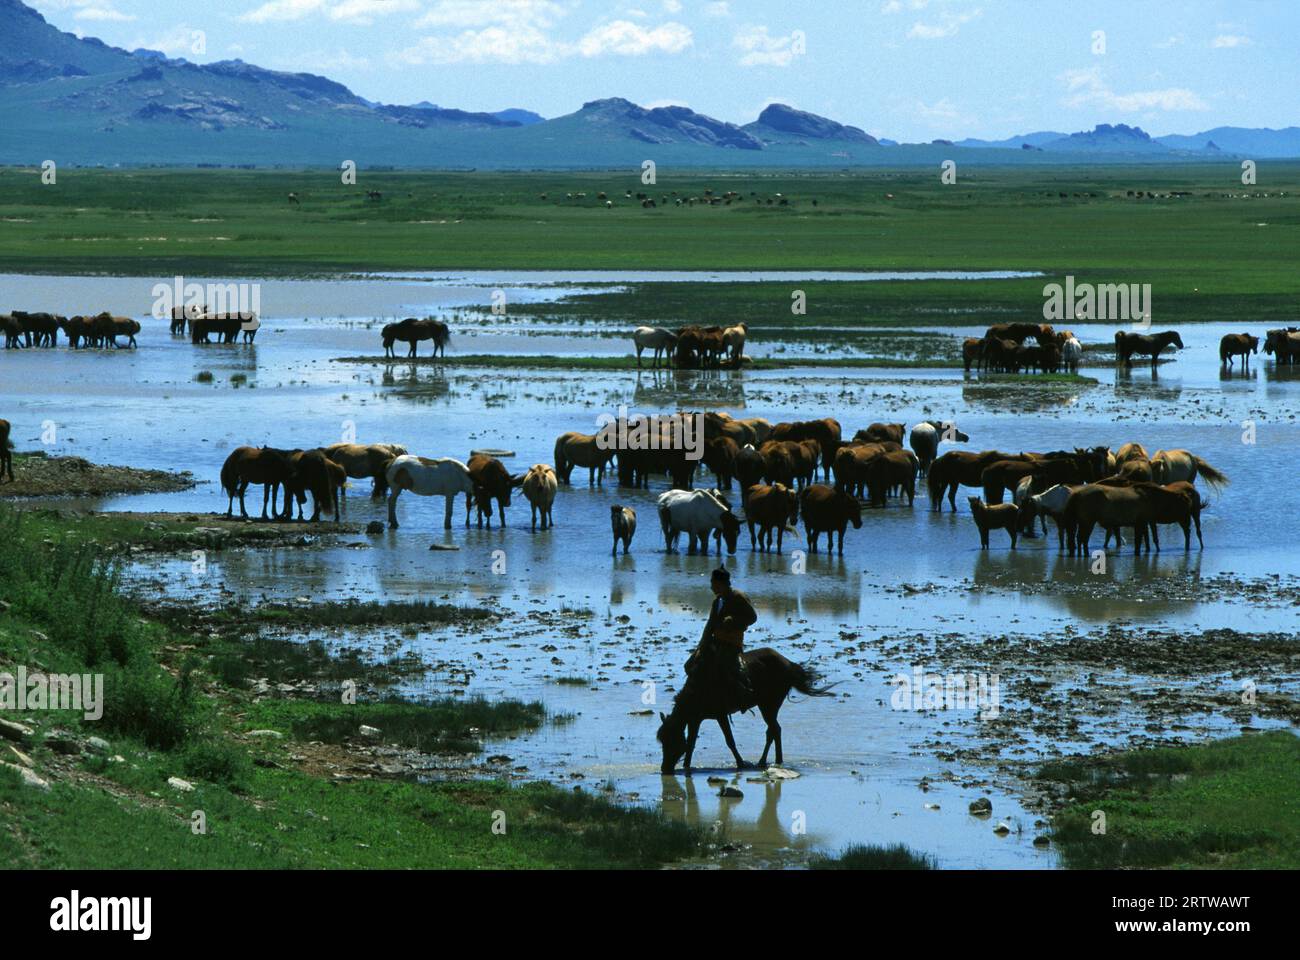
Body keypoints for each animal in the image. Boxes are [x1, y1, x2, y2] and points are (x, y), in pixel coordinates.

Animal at [656, 648, 834, 773]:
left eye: (672, 741)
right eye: (662, 741)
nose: (664, 768)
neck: (697, 691)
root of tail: (789, 664)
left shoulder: (720, 715)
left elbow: (730, 740)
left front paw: (741, 763)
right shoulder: (695, 719)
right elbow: (691, 743)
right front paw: (687, 766)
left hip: (769, 704)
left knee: (774, 729)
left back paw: (773, 761)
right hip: (767, 706)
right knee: (772, 731)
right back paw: (768, 761)